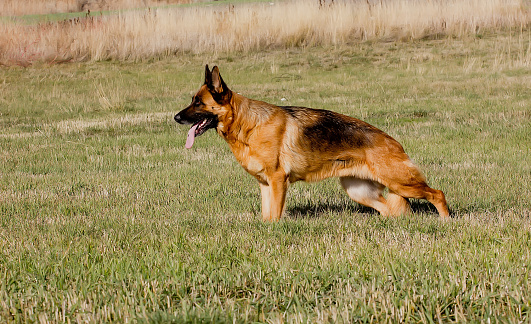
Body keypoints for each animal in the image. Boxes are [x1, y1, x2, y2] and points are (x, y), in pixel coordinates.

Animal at [176, 66, 448, 223]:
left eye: (198, 103)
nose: (176, 117)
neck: (247, 124)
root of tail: (394, 142)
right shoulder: (265, 184)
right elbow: (266, 215)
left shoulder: (278, 181)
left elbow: (275, 215)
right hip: (359, 191)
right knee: (389, 210)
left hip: (401, 183)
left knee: (437, 193)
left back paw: (447, 220)